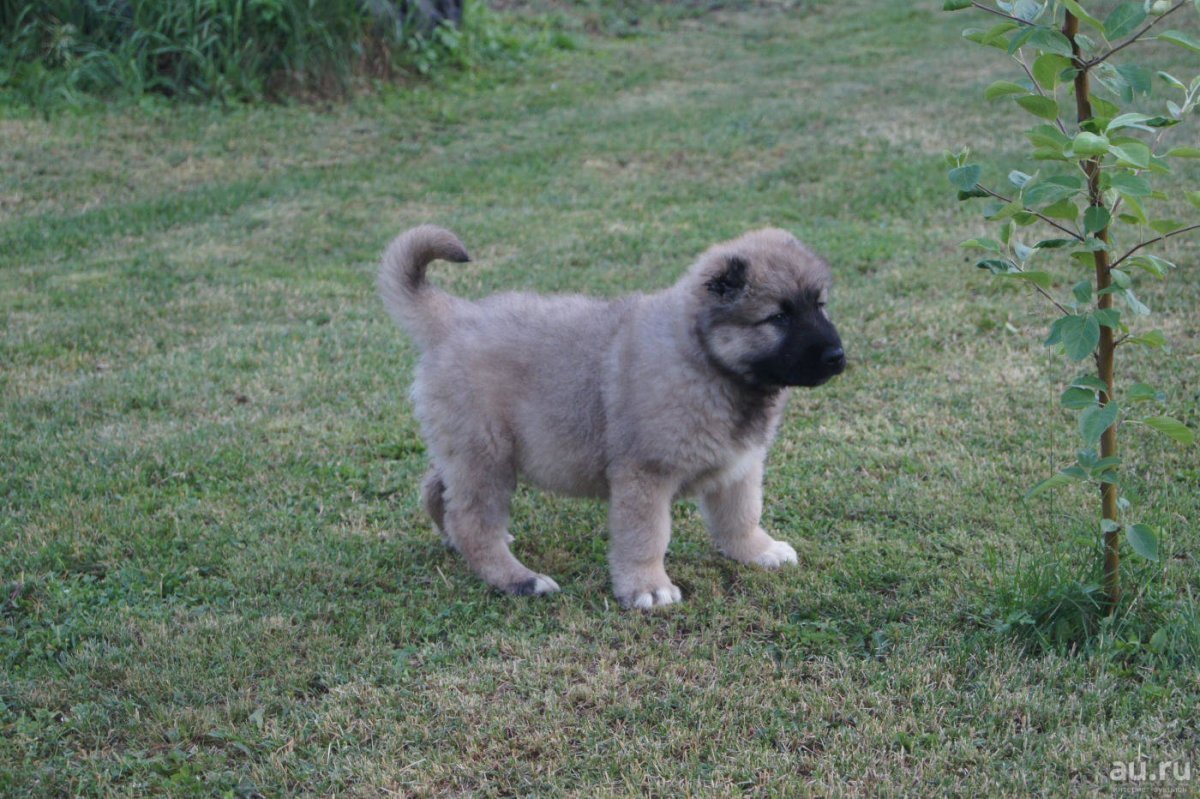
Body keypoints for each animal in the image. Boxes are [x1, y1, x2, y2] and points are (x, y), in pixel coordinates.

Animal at [379, 225, 844, 609]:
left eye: (820, 305)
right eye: (778, 317)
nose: (838, 356)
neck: (704, 361)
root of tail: (454, 318)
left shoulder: (740, 466)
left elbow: (742, 516)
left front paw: (758, 551)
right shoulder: (646, 474)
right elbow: (647, 536)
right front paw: (648, 587)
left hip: (467, 448)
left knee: (438, 491)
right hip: (488, 453)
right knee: (471, 519)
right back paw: (520, 579)